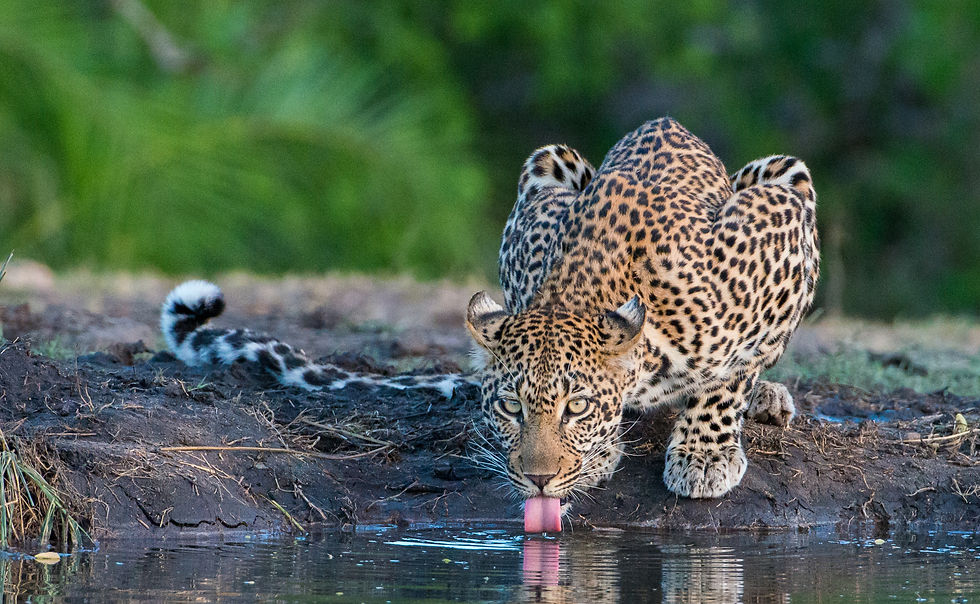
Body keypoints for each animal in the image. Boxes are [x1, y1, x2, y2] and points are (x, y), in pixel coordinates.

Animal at [465, 116, 818, 500]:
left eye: (577, 407)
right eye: (511, 406)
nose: (539, 480)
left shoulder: (778, 224)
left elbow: (733, 377)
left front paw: (705, 455)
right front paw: (600, 451)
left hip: (788, 174)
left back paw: (768, 397)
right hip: (549, 159)